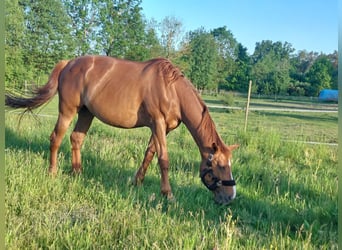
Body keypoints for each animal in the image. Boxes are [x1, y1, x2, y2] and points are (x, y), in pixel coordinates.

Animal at [6, 55, 240, 204]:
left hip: (86, 113)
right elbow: (163, 159)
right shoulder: (158, 123)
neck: (171, 90)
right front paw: (168, 195)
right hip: (67, 111)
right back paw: (53, 172)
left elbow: (149, 154)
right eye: (219, 166)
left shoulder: (162, 128)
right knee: (56, 138)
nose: (230, 197)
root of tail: (68, 63)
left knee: (76, 138)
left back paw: (77, 172)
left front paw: (137, 182)